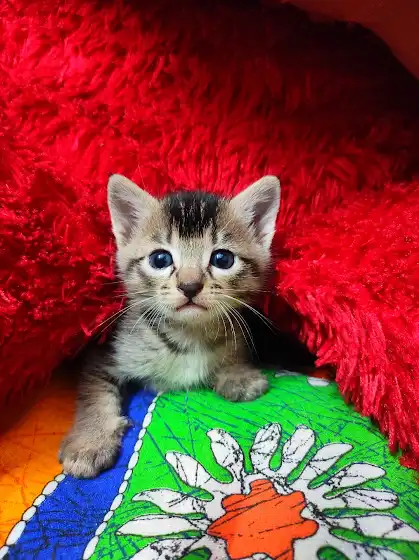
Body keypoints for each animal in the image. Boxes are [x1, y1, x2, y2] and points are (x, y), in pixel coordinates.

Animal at [59, 173, 281, 478]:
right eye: (160, 259)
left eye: (222, 259)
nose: (189, 286)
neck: (188, 336)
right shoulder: (107, 351)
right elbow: (94, 392)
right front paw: (90, 442)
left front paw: (238, 374)